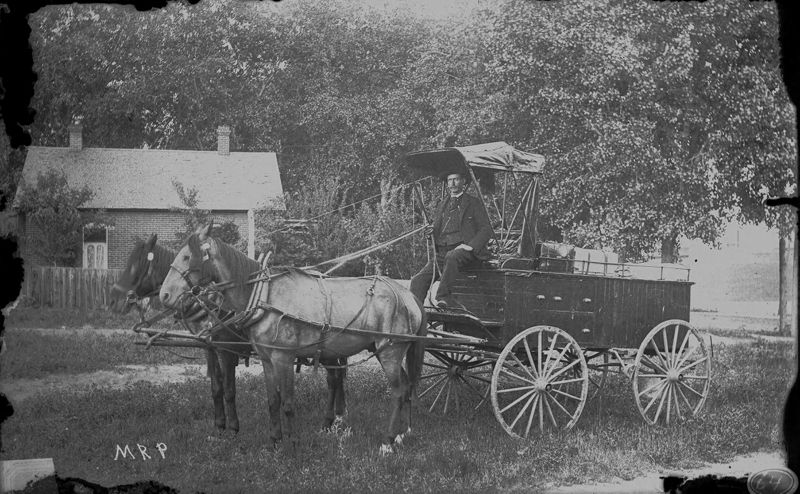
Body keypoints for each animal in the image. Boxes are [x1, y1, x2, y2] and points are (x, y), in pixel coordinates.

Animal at [108, 232, 247, 432]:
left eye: (137, 265)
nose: (113, 300)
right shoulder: (209, 347)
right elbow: (216, 388)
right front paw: (220, 425)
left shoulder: (226, 349)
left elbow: (229, 390)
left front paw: (234, 427)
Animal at [159, 224, 428, 452]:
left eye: (186, 256)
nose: (164, 295)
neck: (263, 295)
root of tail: (408, 294)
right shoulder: (266, 359)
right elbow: (272, 400)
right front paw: (274, 441)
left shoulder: (282, 357)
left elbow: (286, 401)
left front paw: (293, 442)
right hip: (384, 350)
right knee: (404, 386)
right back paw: (403, 433)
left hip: (390, 350)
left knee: (397, 390)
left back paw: (388, 440)